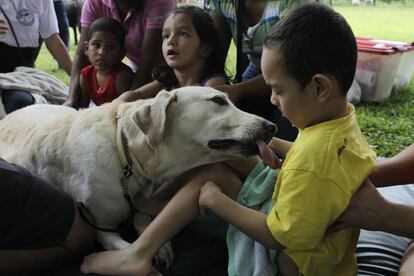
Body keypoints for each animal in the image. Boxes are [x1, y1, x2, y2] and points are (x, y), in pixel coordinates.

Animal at [0, 86, 278, 250]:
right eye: (218, 100)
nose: (272, 127)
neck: (123, 154)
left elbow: (143, 220)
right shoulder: (102, 227)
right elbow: (125, 246)